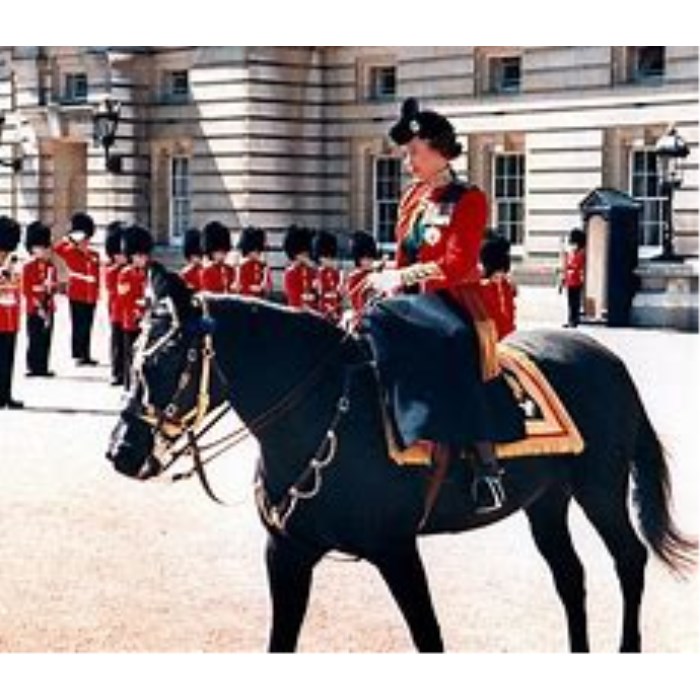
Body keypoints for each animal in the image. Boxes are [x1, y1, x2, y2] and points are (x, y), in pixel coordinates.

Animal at [105, 266, 696, 652]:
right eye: (135, 356)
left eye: (162, 361)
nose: (121, 452)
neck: (324, 413)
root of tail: (606, 356)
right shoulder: (288, 553)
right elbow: (281, 641)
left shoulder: (396, 550)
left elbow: (428, 636)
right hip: (546, 500)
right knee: (570, 575)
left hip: (600, 489)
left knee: (629, 559)